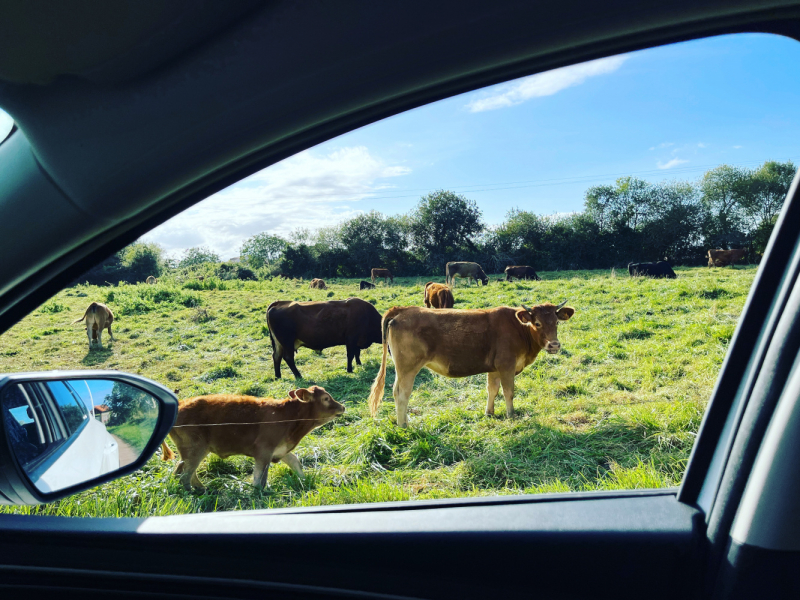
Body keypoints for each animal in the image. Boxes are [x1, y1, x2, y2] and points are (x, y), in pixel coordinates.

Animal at [161, 386, 346, 490]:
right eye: (326, 398)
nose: (343, 407)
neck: (290, 418)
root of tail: (181, 404)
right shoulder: (264, 451)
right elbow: (260, 478)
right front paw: (260, 494)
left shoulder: (281, 449)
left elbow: (295, 462)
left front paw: (304, 481)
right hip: (195, 449)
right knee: (184, 474)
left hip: (194, 450)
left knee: (182, 470)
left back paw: (201, 490)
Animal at [368, 300, 576, 426]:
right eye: (537, 323)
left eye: (557, 322)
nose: (554, 345)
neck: (519, 329)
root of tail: (402, 309)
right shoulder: (507, 366)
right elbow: (508, 392)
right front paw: (511, 415)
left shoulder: (495, 368)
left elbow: (492, 389)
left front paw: (489, 413)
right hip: (407, 368)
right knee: (401, 393)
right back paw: (403, 425)